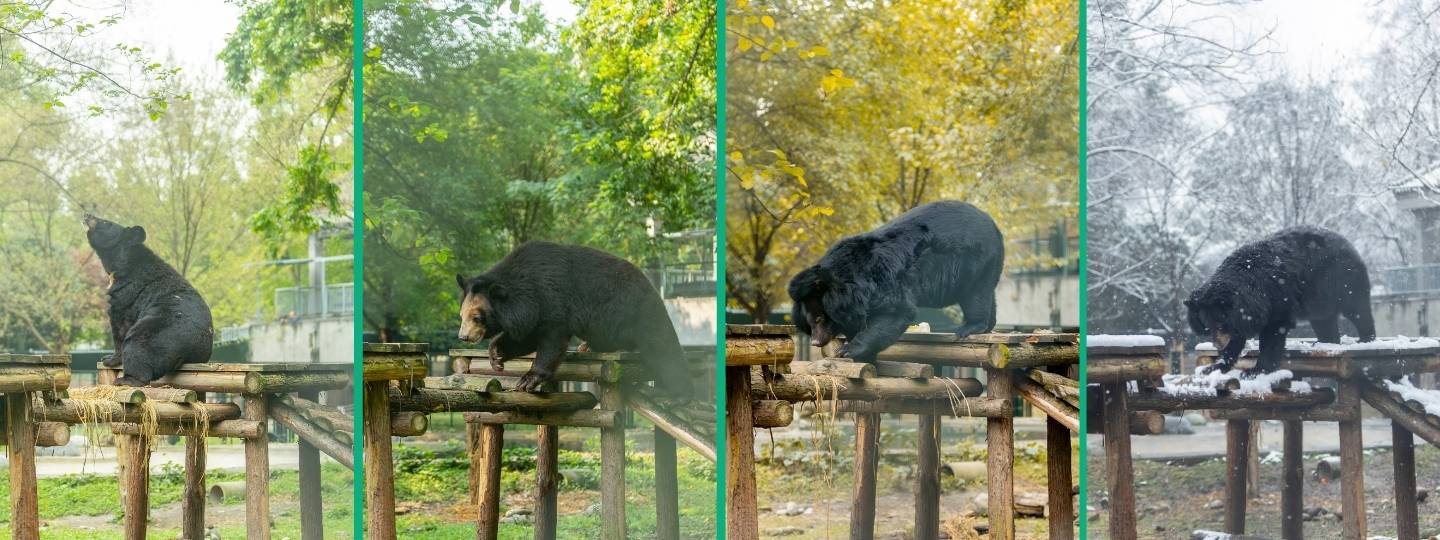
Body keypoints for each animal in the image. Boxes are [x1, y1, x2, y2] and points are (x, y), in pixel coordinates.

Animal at [84, 214, 214, 386]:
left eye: (106, 222)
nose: (86, 215)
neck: (125, 262)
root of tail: (193, 348)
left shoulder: (128, 293)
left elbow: (120, 325)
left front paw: (109, 359)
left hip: (154, 333)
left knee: (137, 348)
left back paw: (125, 380)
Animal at [456, 241, 693, 397]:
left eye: (477, 317)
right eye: (462, 315)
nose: (463, 337)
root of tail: (652, 288)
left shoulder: (552, 298)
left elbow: (552, 339)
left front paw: (528, 379)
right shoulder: (533, 310)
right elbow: (527, 337)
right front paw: (496, 355)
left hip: (633, 311)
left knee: (661, 345)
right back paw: (586, 346)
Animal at [788, 200, 1005, 362]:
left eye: (820, 318)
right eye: (809, 321)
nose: (816, 342)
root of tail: (992, 223)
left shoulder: (884, 280)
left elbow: (895, 313)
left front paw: (849, 350)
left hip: (974, 259)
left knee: (975, 295)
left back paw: (969, 327)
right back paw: (988, 325)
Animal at [1185, 226, 1376, 375]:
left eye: (1221, 324)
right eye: (1207, 325)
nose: (1217, 345)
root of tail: (1349, 245)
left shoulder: (1277, 297)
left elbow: (1274, 332)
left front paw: (1255, 370)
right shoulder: (1244, 315)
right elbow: (1237, 339)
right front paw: (1215, 367)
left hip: (1341, 281)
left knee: (1357, 309)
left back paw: (1365, 339)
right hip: (1320, 298)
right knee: (1323, 320)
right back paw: (1325, 342)